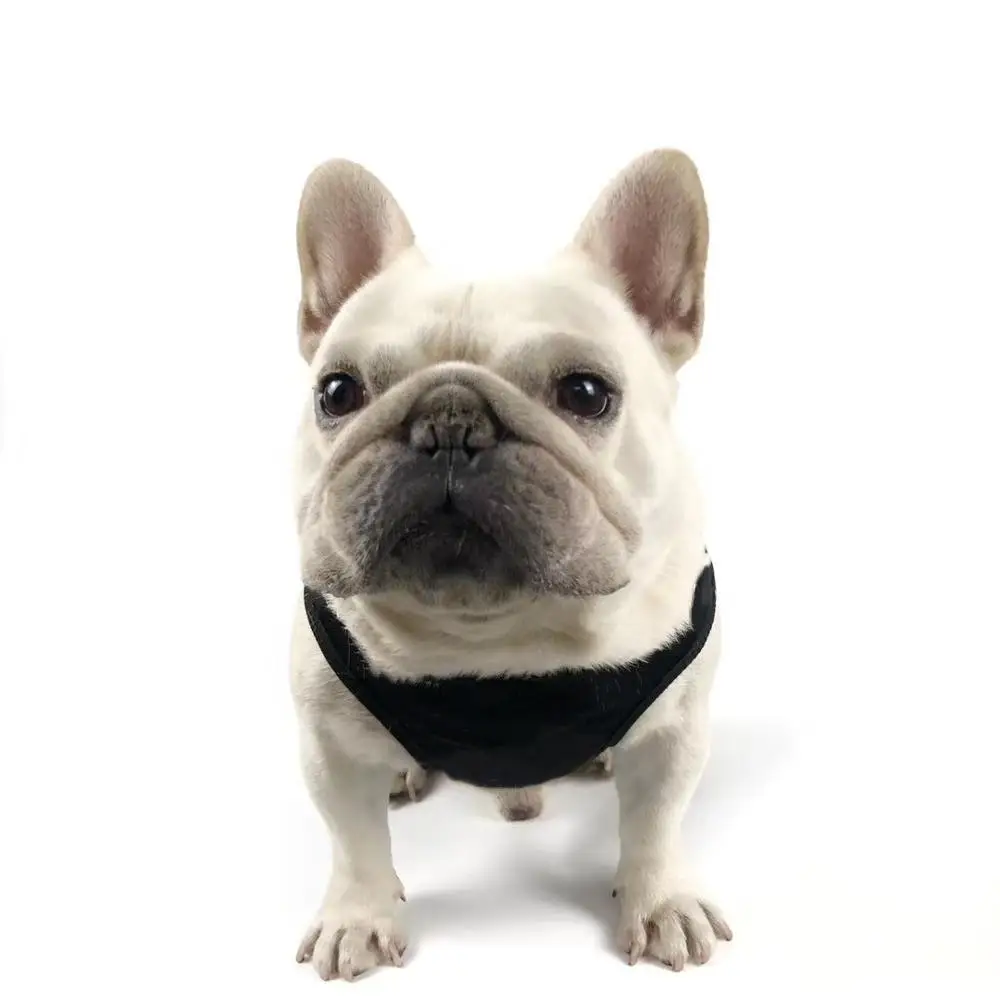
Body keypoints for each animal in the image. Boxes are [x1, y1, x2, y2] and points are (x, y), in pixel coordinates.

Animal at [289, 150, 730, 980]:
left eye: (586, 392)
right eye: (337, 391)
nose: (449, 422)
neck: (496, 640)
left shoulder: (675, 731)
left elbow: (656, 823)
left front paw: (658, 902)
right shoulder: (326, 742)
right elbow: (353, 840)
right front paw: (359, 917)